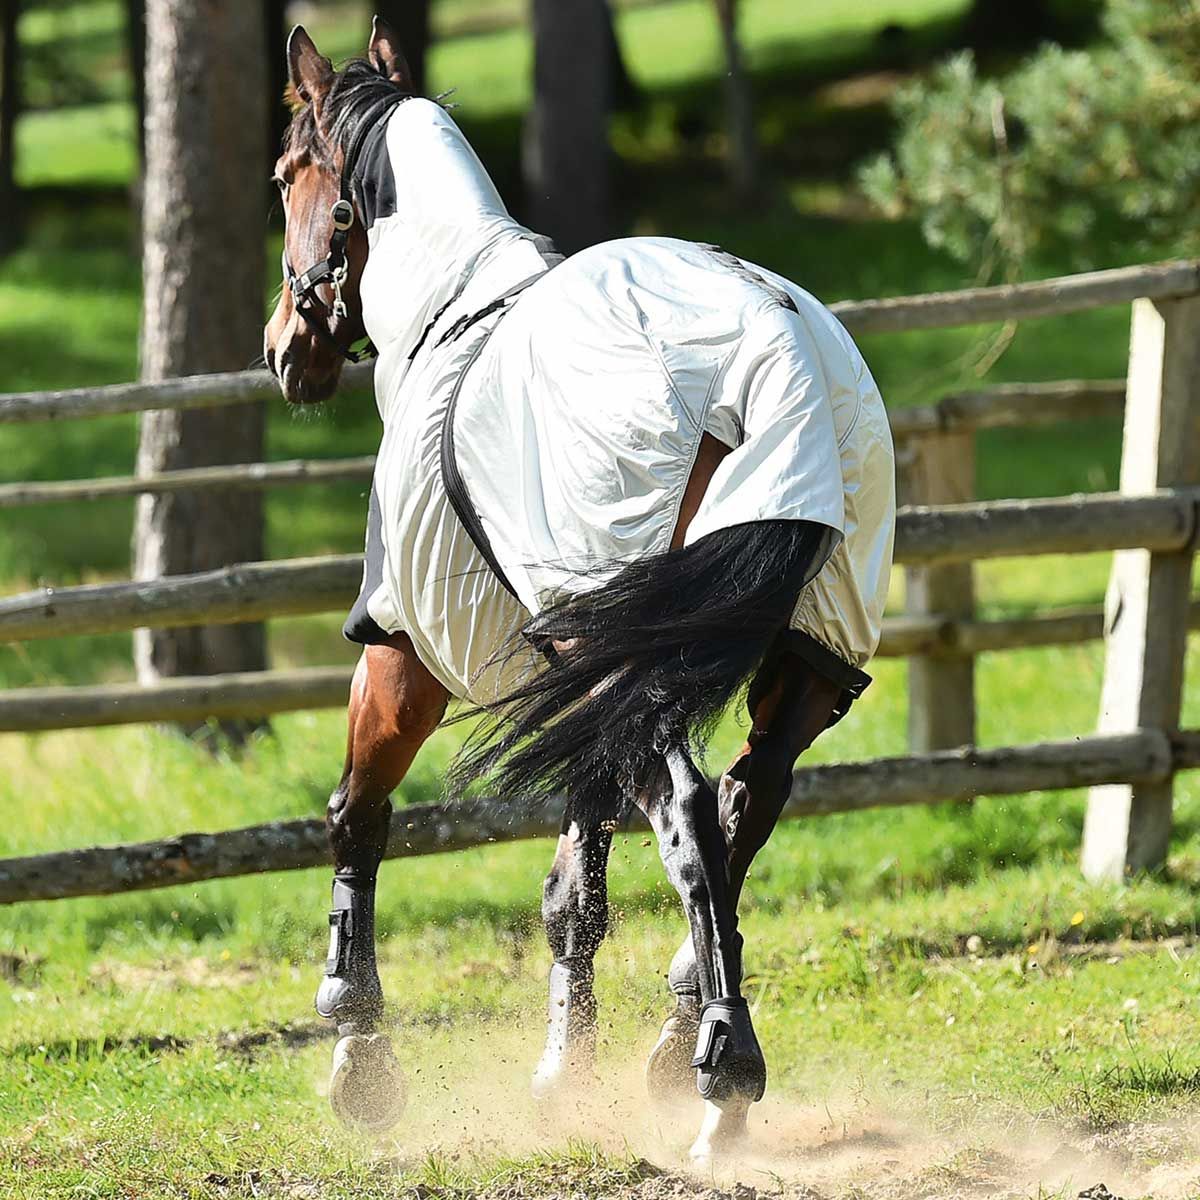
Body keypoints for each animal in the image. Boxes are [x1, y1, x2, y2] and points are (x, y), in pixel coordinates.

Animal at [263, 17, 896, 1160]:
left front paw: (359, 1051)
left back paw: (725, 1079)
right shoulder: (585, 684)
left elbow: (355, 816)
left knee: (693, 816)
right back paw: (680, 1044)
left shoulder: (406, 648)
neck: (449, 308)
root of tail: (773, 347)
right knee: (745, 805)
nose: (285, 349)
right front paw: (566, 1073)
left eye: (287, 176)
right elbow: (575, 890)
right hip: (800, 660)